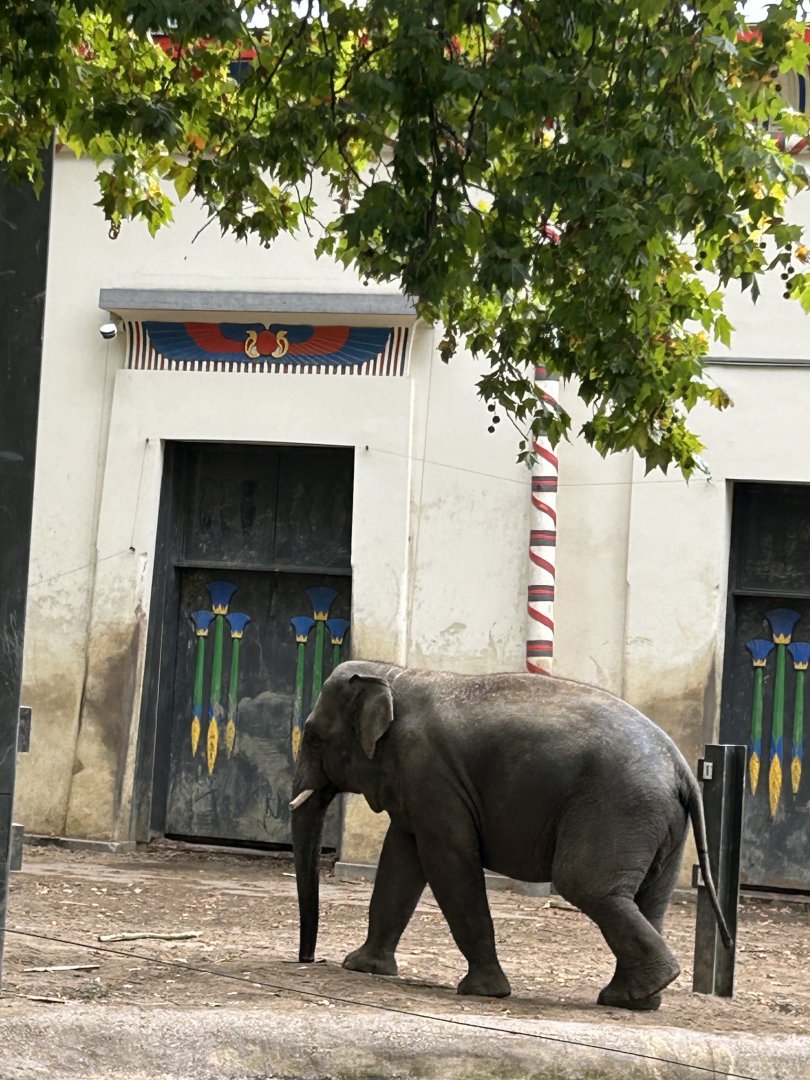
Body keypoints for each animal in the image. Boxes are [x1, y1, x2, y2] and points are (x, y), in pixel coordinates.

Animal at [290, 661, 731, 1010]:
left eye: (312, 737)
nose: (307, 960)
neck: (394, 674)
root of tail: (682, 767)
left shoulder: (432, 775)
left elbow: (449, 862)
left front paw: (483, 992)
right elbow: (400, 859)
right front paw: (362, 967)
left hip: (619, 808)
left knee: (586, 886)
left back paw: (642, 988)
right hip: (662, 825)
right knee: (649, 898)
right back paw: (635, 999)